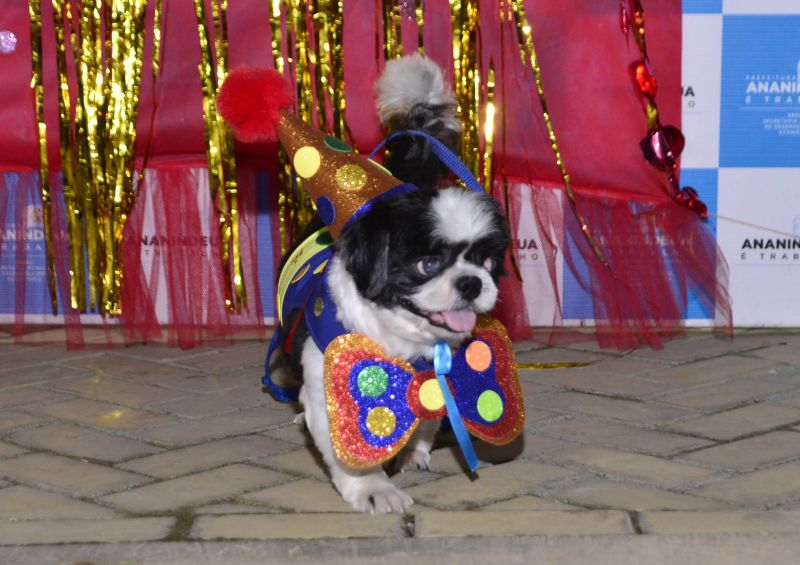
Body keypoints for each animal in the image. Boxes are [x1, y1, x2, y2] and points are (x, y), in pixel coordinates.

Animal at [266, 55, 510, 512]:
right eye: (427, 264)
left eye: (487, 261)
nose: (472, 283)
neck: (403, 341)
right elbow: (349, 450)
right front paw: (373, 488)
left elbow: (425, 419)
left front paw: (413, 451)